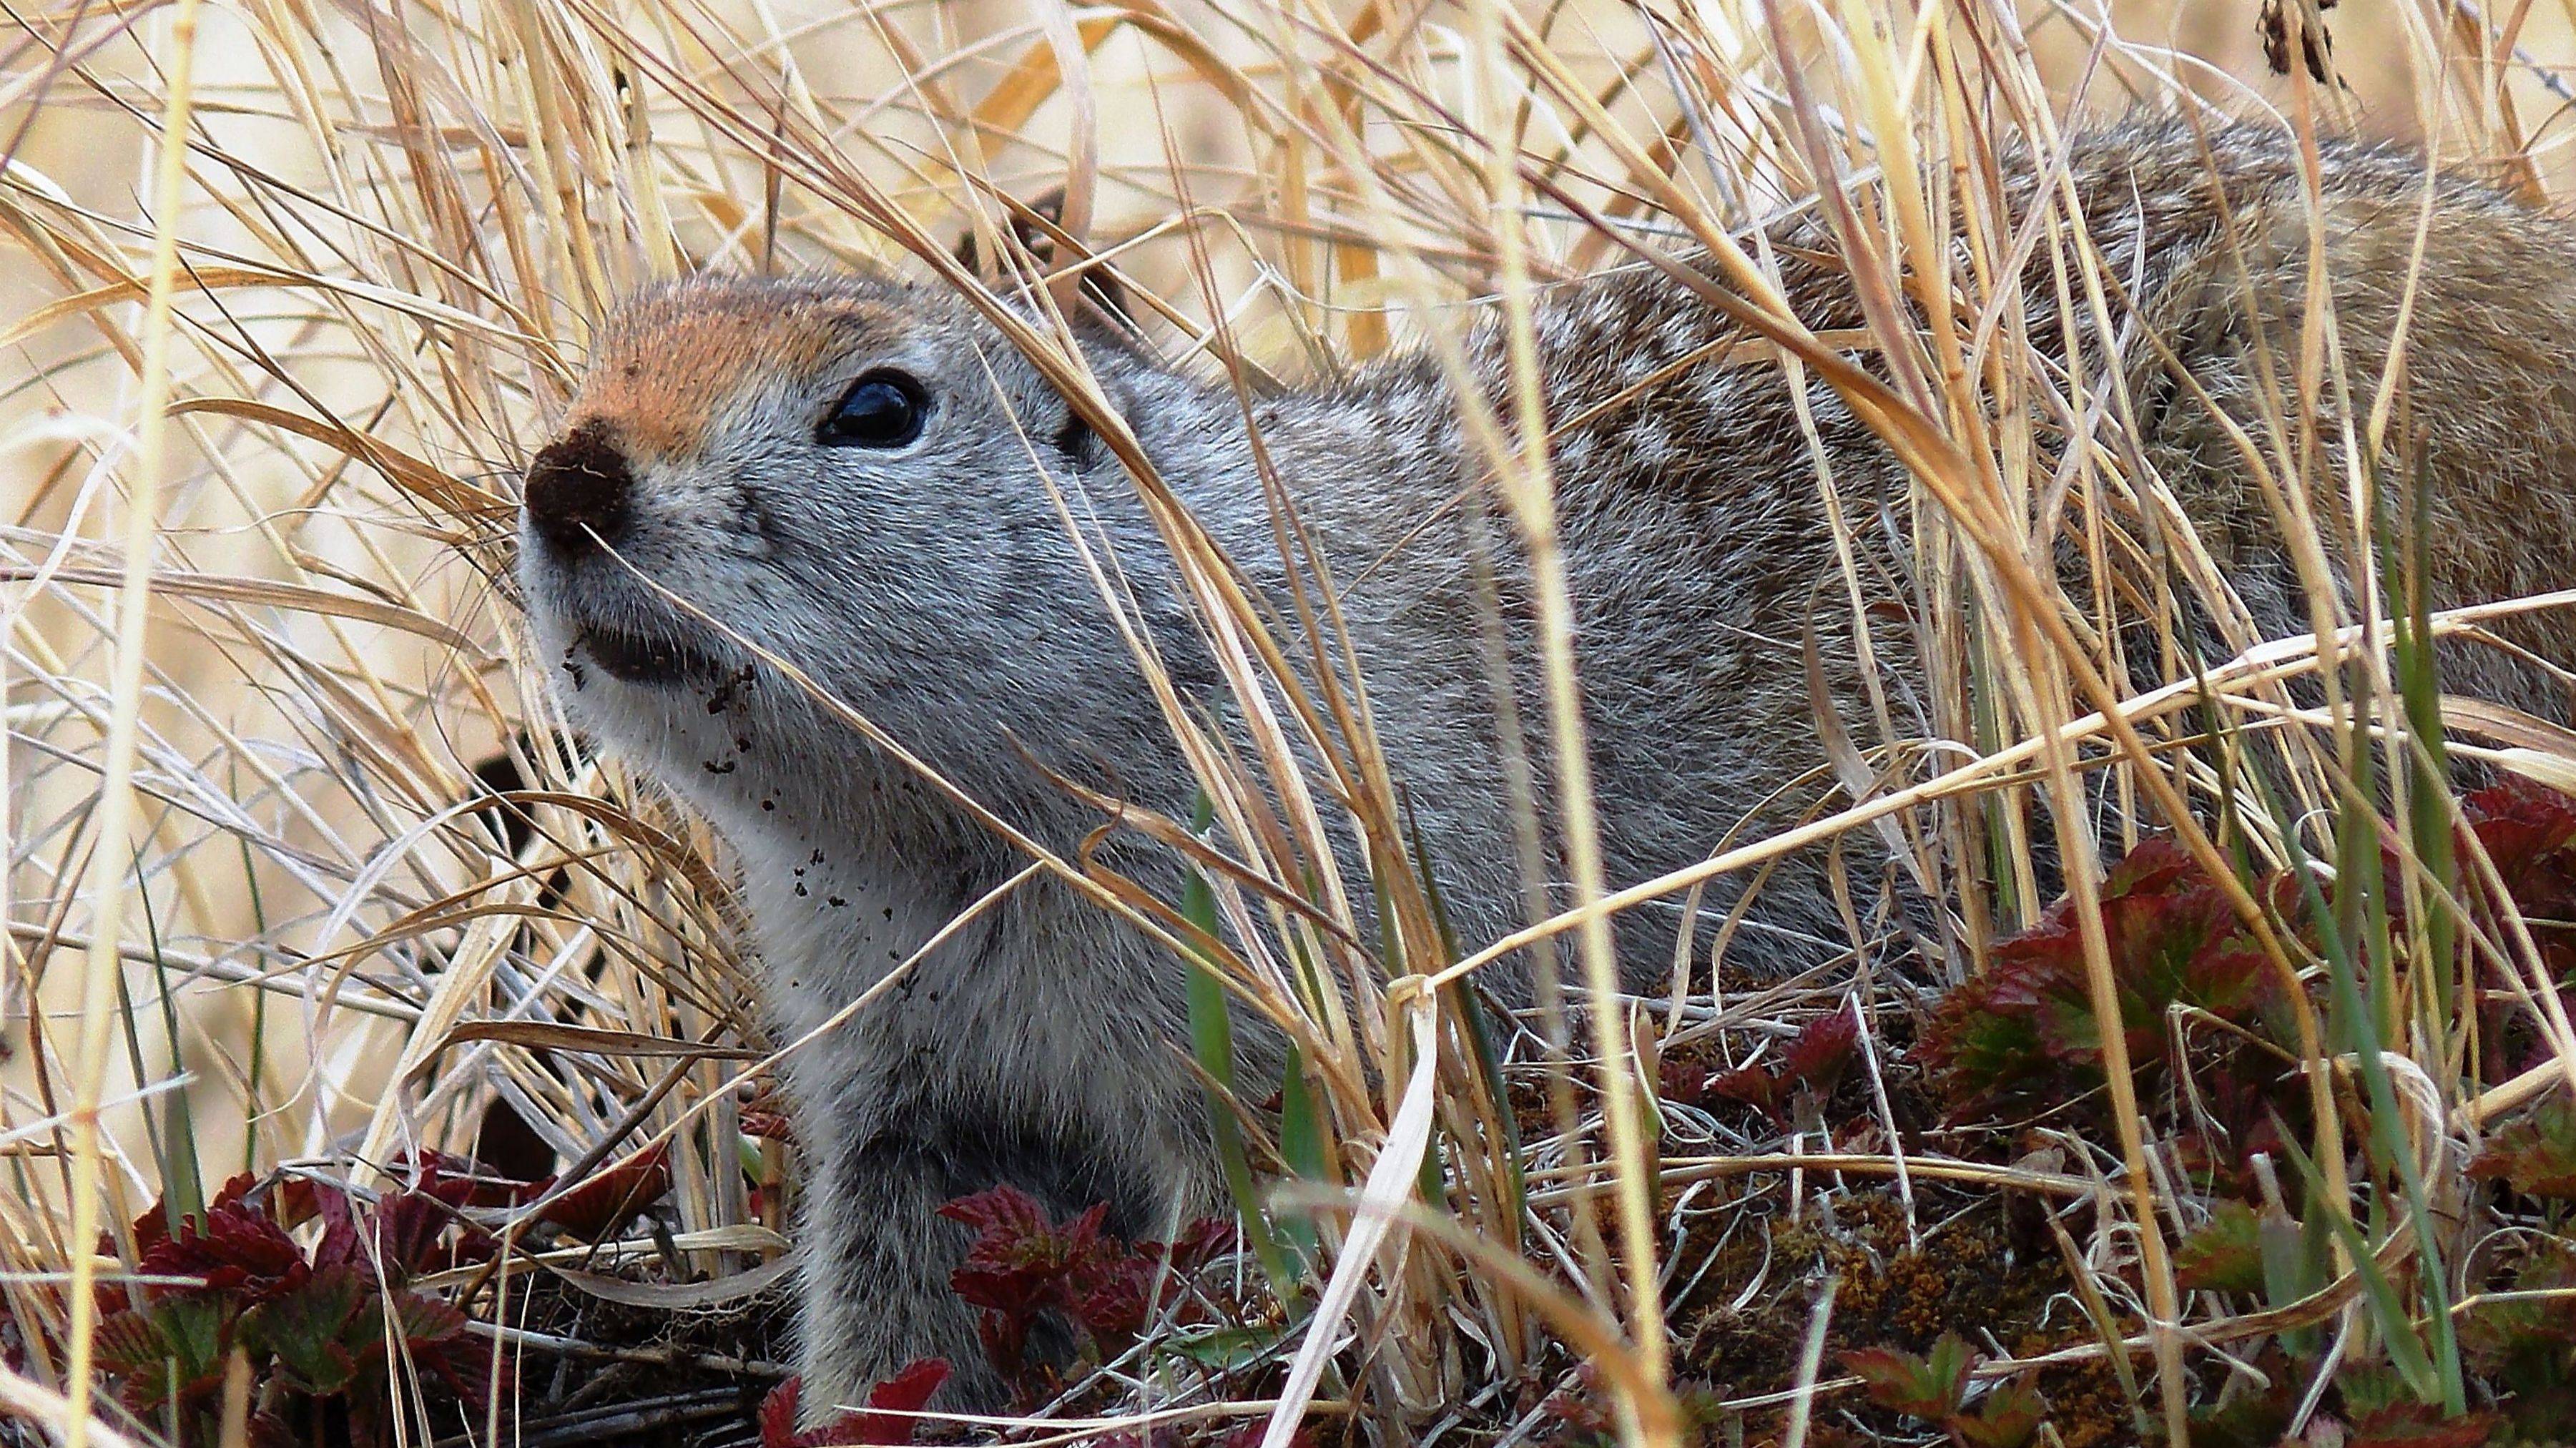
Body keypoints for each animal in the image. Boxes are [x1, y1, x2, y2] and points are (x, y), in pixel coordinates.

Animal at [512, 121, 2576, 1412]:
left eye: (879, 407)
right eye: (607, 347)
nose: (564, 481)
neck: (951, 838)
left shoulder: (1293, 1006)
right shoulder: (899, 1087)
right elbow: (887, 1299)